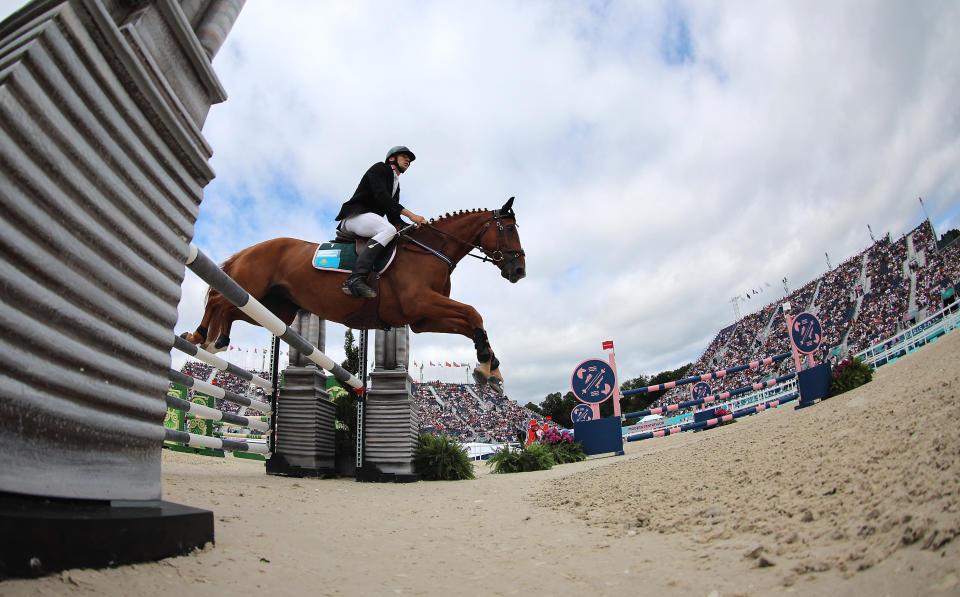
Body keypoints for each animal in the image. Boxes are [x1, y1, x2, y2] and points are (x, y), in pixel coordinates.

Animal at [180, 198, 524, 394]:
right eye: (509, 229)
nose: (519, 270)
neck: (430, 251)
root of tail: (253, 248)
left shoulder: (422, 318)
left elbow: (470, 323)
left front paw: (490, 369)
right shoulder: (421, 303)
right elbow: (473, 313)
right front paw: (486, 365)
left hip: (273, 308)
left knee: (228, 309)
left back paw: (213, 340)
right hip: (253, 291)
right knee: (218, 300)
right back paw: (202, 336)